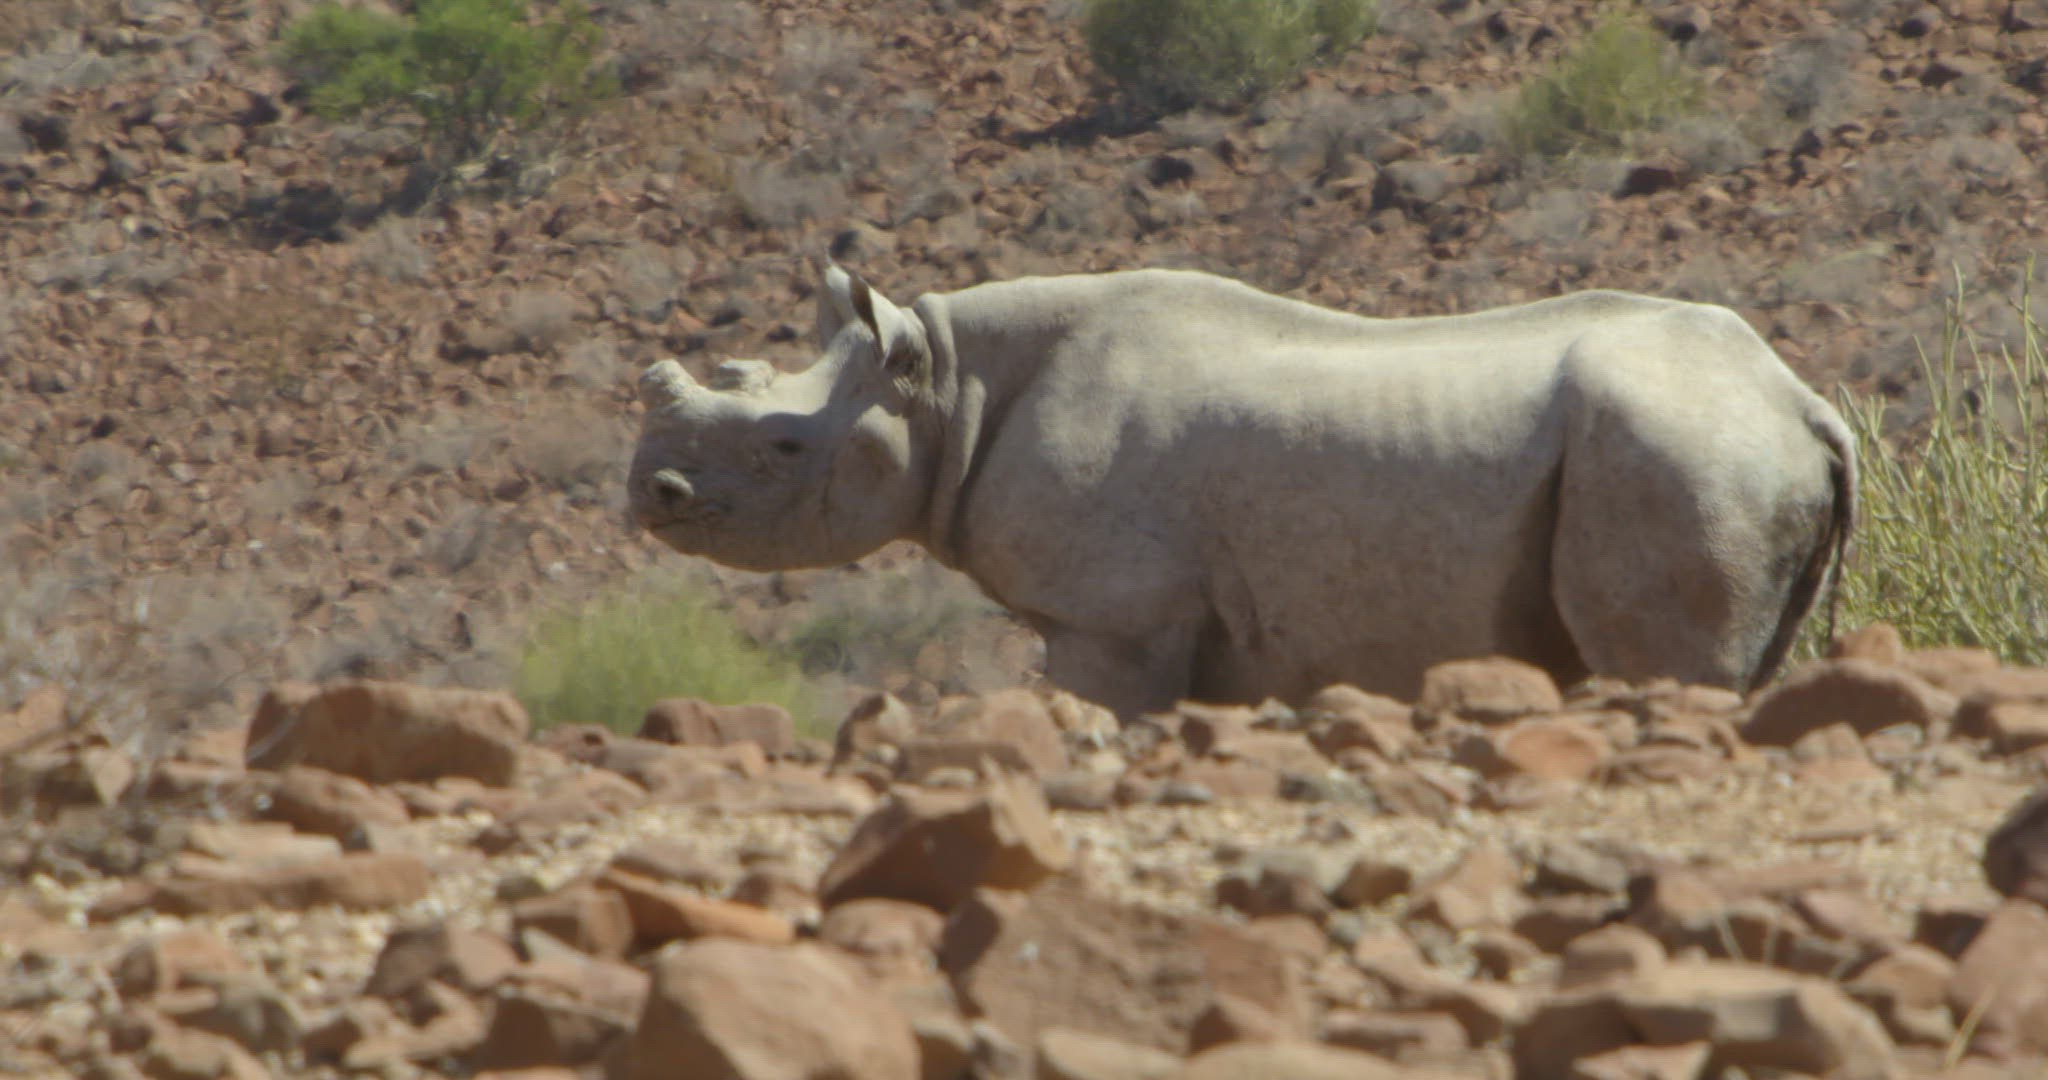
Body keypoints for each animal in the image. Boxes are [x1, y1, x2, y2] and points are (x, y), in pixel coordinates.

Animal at [627, 264, 1854, 716]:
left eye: (785, 446)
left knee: (1669, 665)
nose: (651, 495)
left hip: (1678, 449)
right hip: (1715, 450)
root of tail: (1801, 402)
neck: (945, 386)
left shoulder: (1109, 618)